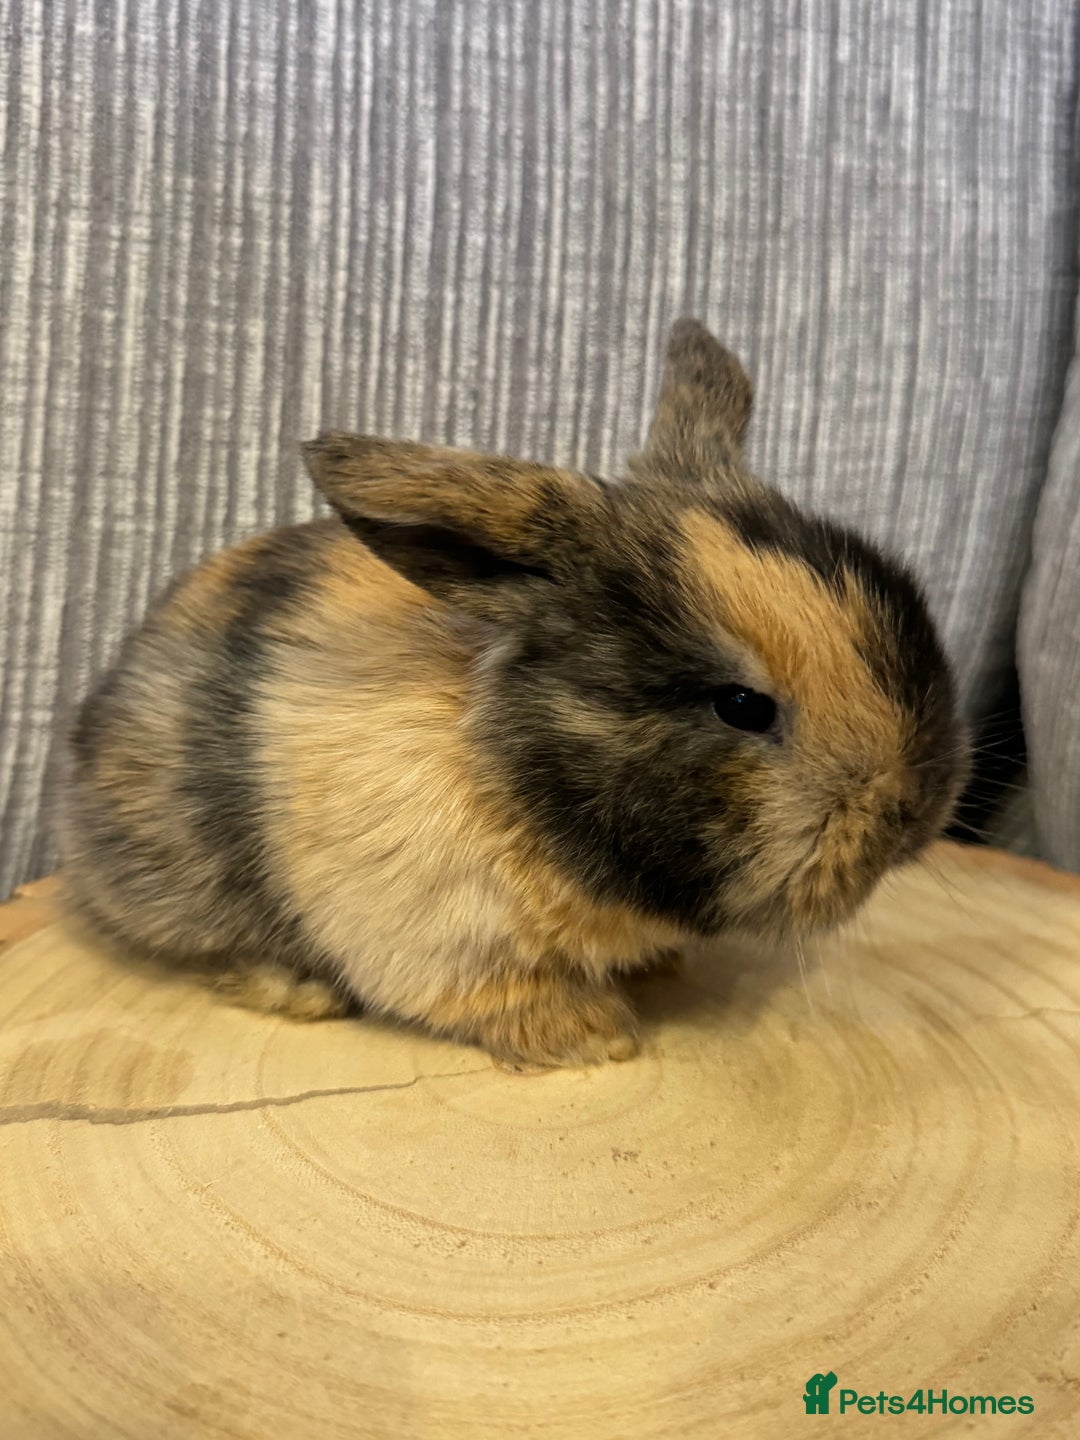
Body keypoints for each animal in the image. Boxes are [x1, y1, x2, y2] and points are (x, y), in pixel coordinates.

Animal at [58, 319, 969, 1069]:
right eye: (741, 706)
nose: (910, 818)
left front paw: (658, 972)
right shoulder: (437, 937)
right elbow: (497, 997)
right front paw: (599, 1038)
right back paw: (297, 991)